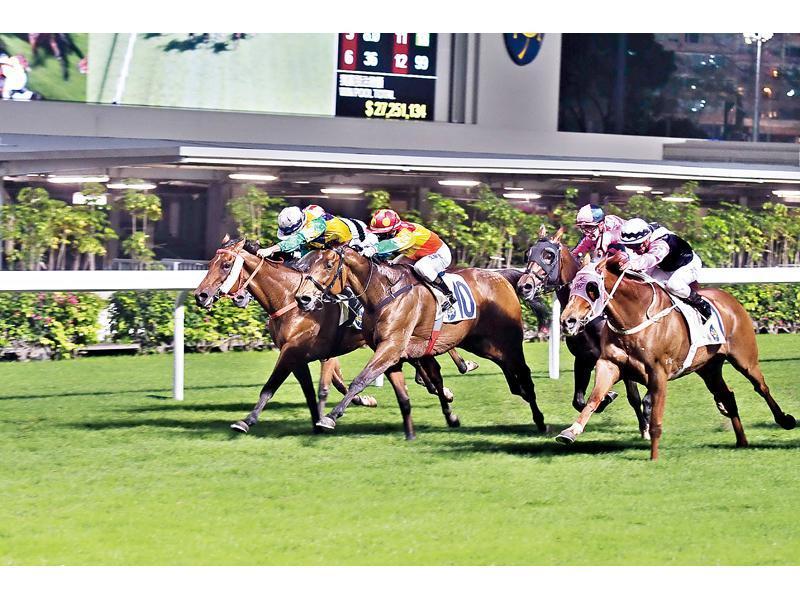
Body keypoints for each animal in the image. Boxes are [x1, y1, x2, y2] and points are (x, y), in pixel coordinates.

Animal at [194, 237, 471, 436]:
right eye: (210, 263)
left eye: (226, 265)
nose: (201, 296)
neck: (288, 298)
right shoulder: (298, 355)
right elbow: (311, 389)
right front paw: (320, 419)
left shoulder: (301, 352)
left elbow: (277, 387)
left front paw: (247, 420)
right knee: (429, 367)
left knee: (434, 364)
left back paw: (459, 372)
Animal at [293, 246, 547, 437]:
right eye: (308, 265)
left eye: (328, 265)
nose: (303, 298)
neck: (384, 293)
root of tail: (501, 276)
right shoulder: (392, 353)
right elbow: (405, 393)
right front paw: (421, 427)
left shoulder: (391, 347)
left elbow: (360, 379)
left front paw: (330, 417)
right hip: (481, 343)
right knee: (507, 369)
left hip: (508, 339)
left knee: (524, 372)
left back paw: (540, 419)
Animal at [517, 226, 651, 438]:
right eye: (527, 254)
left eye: (549, 255)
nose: (525, 286)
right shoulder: (583, 359)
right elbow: (579, 401)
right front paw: (607, 397)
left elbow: (633, 397)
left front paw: (645, 428)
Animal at [557, 253, 796, 459]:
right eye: (572, 286)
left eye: (591, 288)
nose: (567, 320)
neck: (634, 317)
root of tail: (730, 299)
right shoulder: (609, 364)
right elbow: (593, 398)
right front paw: (570, 431)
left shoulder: (658, 374)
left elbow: (655, 417)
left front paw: (654, 456)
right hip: (708, 368)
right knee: (728, 396)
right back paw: (742, 441)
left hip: (745, 359)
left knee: (761, 387)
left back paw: (785, 420)